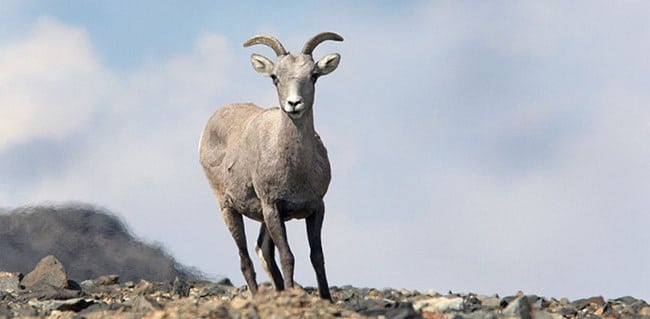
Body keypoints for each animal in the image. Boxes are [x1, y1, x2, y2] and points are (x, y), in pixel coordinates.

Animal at [197, 33, 342, 302]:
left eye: (314, 75)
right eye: (275, 77)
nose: (294, 104)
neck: (296, 171)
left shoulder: (316, 208)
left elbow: (317, 257)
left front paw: (326, 299)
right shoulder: (273, 208)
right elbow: (288, 257)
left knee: (262, 250)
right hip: (229, 209)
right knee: (245, 259)